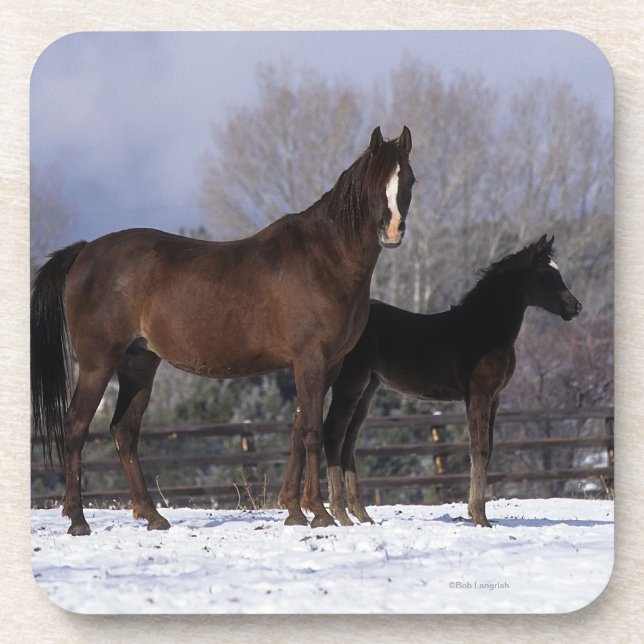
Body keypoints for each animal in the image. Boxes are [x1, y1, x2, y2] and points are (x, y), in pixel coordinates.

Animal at [31, 125, 415, 535]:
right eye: (375, 182)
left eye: (407, 179)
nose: (393, 231)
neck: (324, 258)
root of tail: (85, 251)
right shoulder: (310, 360)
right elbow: (312, 431)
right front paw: (319, 512)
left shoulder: (328, 365)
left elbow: (298, 430)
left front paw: (294, 511)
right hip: (97, 363)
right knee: (75, 427)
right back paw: (77, 519)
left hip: (139, 363)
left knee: (124, 431)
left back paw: (153, 516)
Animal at [323, 235, 582, 528]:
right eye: (546, 274)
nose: (575, 307)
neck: (484, 329)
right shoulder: (479, 394)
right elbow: (479, 449)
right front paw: (479, 517)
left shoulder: (495, 398)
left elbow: (488, 448)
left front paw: (477, 513)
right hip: (350, 382)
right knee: (333, 434)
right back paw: (341, 514)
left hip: (368, 388)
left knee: (349, 442)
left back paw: (362, 515)